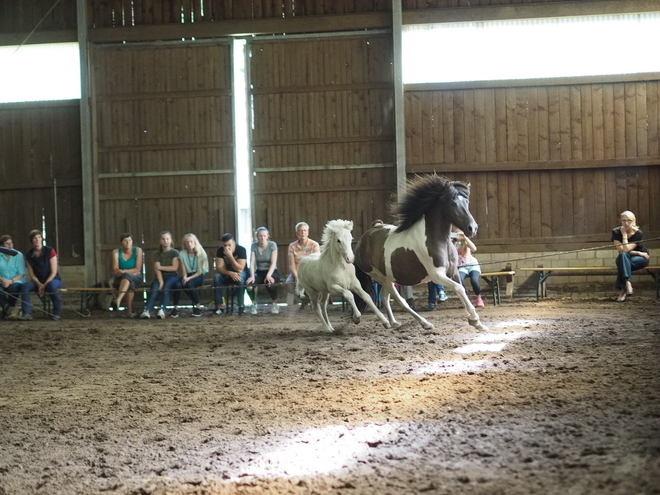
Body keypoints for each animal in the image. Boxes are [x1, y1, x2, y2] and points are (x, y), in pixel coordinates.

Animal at [356, 175, 490, 334]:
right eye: (453, 203)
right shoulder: (437, 275)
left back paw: (394, 323)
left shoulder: (453, 272)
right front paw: (474, 320)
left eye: (467, 202)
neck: (437, 240)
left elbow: (463, 289)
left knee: (384, 297)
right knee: (398, 301)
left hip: (388, 278)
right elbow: (459, 288)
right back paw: (423, 323)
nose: (472, 228)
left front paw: (478, 323)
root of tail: (361, 241)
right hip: (380, 277)